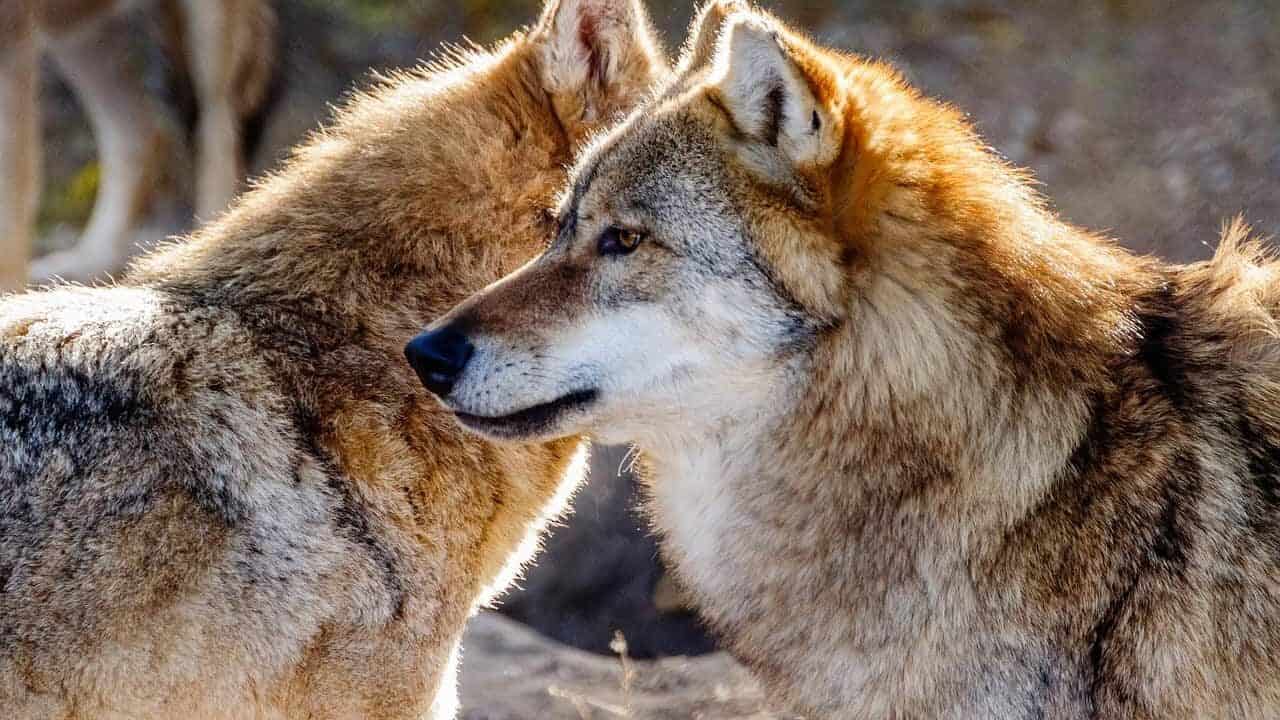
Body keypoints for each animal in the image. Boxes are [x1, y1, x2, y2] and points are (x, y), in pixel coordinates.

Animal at [0, 0, 276, 290]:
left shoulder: (11, 32)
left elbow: (9, 216)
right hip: (72, 28)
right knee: (141, 133)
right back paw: (88, 268)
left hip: (209, 41)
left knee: (219, 136)